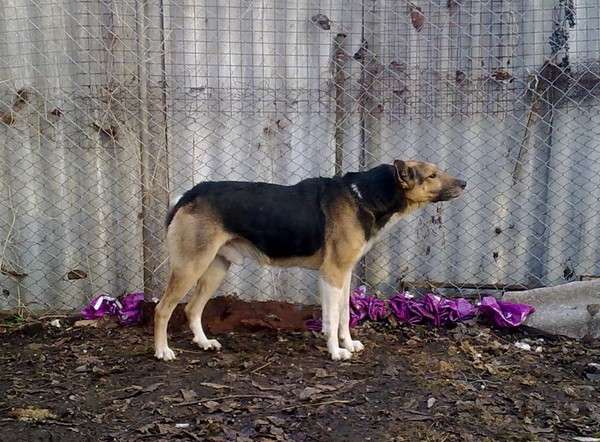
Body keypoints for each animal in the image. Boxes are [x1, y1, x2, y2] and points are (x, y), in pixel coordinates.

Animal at [154, 161, 464, 360]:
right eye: (432, 175)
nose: (464, 183)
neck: (363, 196)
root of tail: (189, 194)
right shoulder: (332, 273)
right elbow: (332, 317)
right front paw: (336, 352)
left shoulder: (344, 274)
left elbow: (343, 316)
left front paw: (348, 344)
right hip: (190, 267)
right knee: (162, 309)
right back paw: (162, 351)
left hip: (215, 267)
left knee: (192, 308)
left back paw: (204, 343)